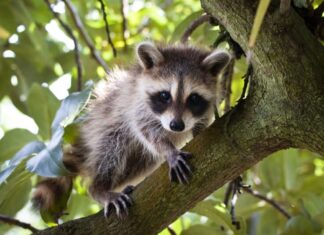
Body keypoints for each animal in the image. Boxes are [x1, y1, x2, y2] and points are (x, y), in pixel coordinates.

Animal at [32, 41, 230, 218]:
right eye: (165, 95)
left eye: (194, 98)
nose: (177, 126)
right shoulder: (136, 105)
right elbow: (146, 130)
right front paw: (169, 151)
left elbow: (200, 124)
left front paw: (196, 131)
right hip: (103, 129)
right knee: (111, 149)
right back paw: (99, 188)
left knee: (140, 164)